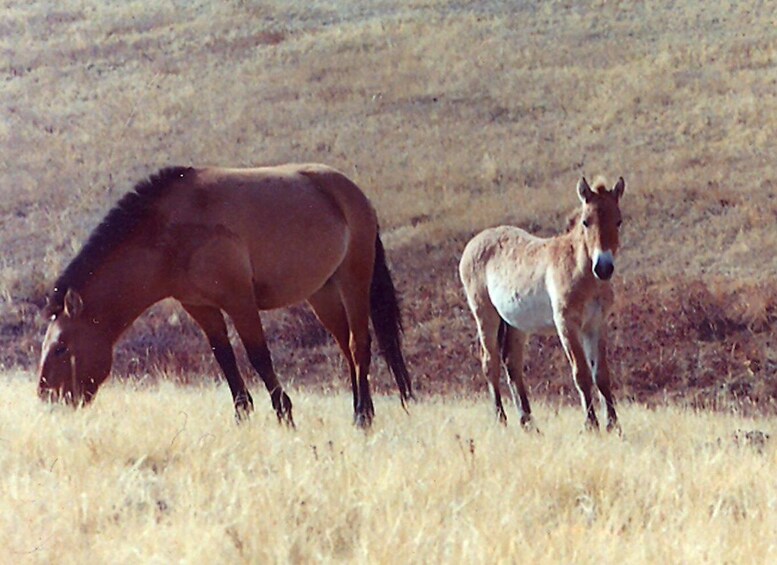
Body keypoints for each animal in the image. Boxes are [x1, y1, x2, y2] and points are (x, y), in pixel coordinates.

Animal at [38, 163, 412, 428]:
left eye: (61, 348)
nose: (46, 398)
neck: (169, 233)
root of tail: (353, 192)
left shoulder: (239, 302)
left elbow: (259, 356)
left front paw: (284, 415)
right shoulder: (201, 307)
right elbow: (225, 358)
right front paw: (242, 415)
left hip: (353, 281)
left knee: (359, 344)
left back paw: (363, 417)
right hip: (322, 294)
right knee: (346, 347)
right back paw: (361, 410)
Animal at [460, 176, 624, 432]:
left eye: (618, 221)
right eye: (586, 222)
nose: (604, 268)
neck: (580, 271)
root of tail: (474, 243)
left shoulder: (596, 324)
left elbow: (601, 375)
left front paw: (614, 426)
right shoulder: (566, 324)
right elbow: (582, 374)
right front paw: (591, 424)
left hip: (516, 324)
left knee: (512, 363)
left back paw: (528, 422)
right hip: (485, 315)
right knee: (490, 363)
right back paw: (501, 419)